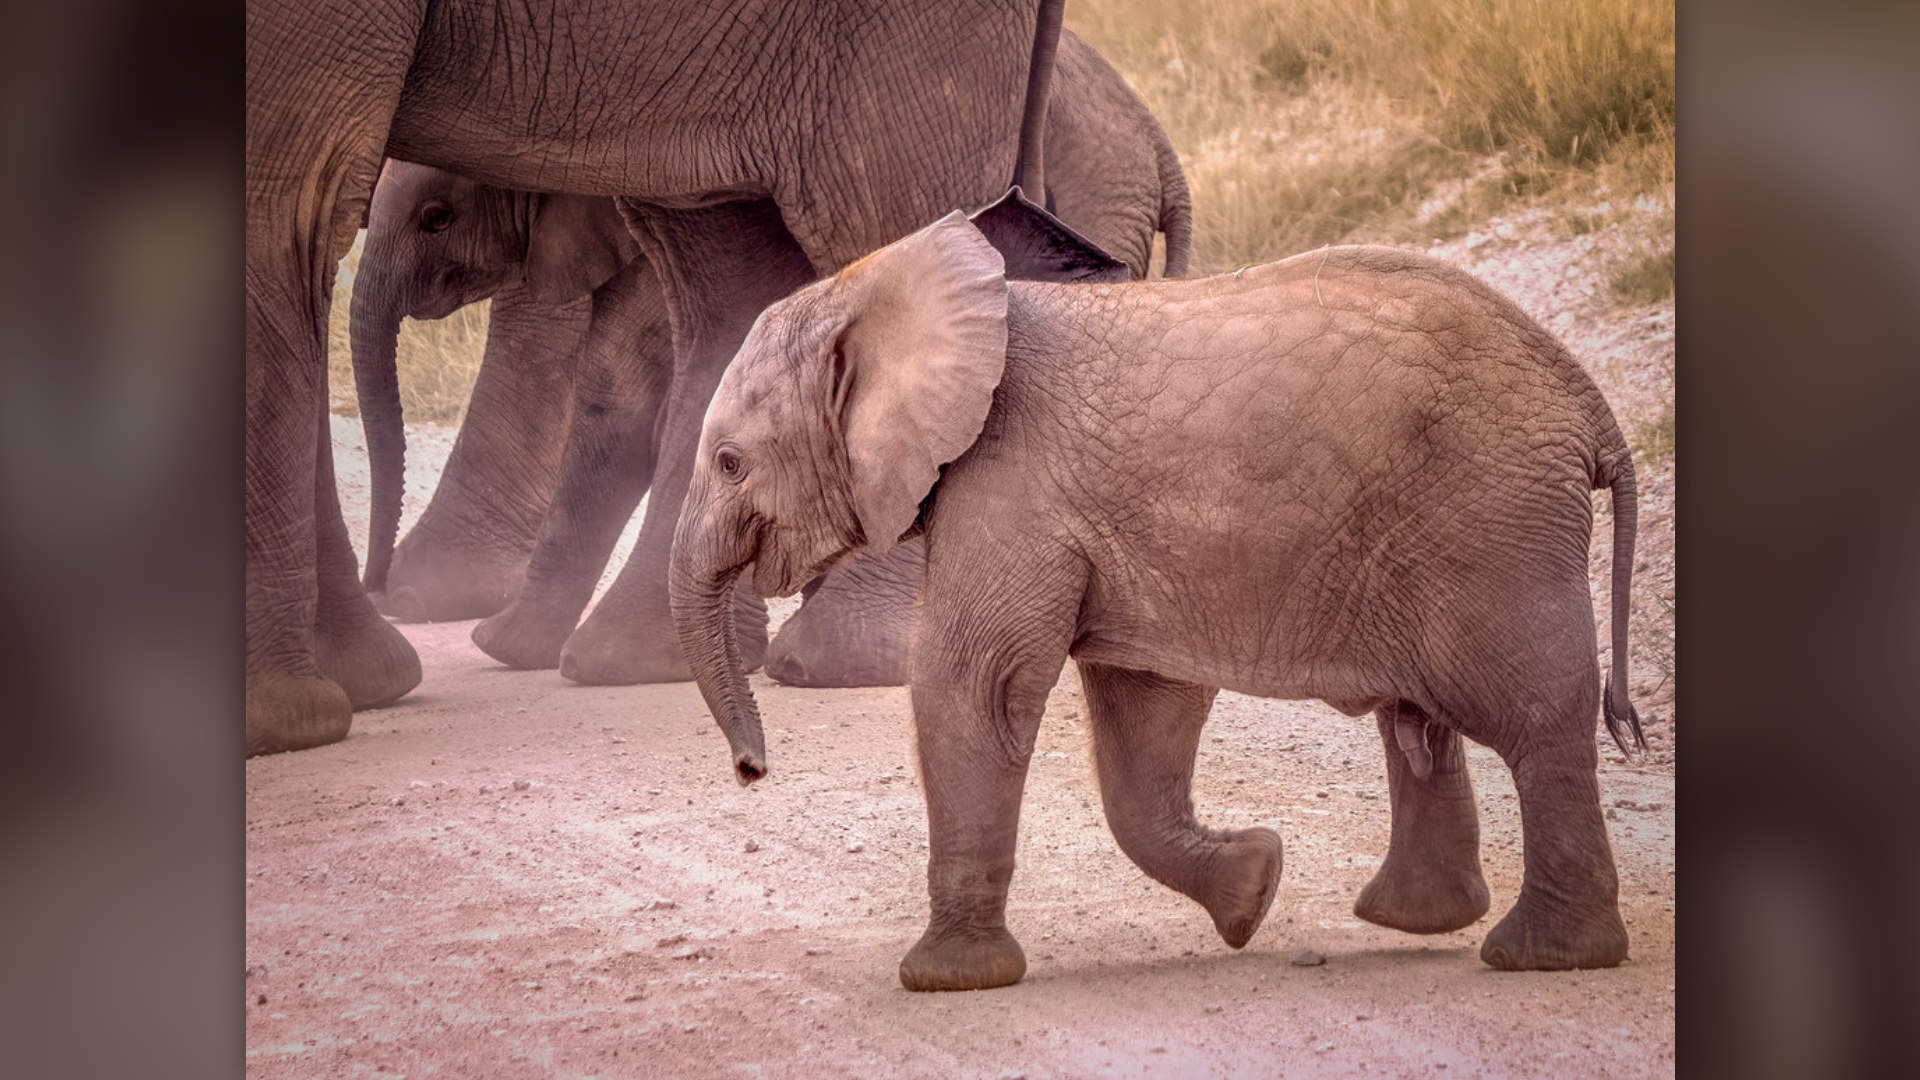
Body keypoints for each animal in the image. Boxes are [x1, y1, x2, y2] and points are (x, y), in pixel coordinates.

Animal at [246, 0, 1136, 754]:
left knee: (885, 221)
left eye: (437, 218)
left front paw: (295, 718)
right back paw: (634, 658)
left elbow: (279, 211)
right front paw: (362, 685)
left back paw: (830, 663)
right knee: (726, 271)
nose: (378, 579)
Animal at [667, 214, 1648, 990]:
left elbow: (976, 686)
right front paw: (1254, 890)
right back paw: (1419, 922)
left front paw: (945, 982)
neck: (883, 288)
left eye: (730, 462)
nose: (751, 771)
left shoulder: (1010, 484)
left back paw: (1541, 957)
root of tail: (1592, 408)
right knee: (1422, 721)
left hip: (1492, 523)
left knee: (1534, 720)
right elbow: (1140, 709)